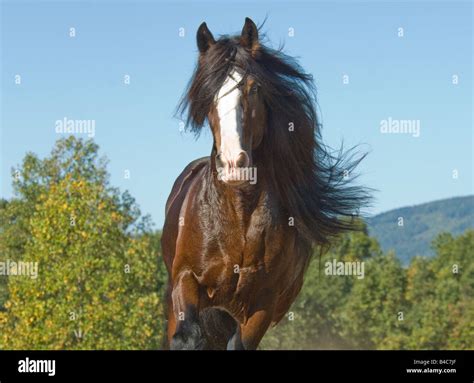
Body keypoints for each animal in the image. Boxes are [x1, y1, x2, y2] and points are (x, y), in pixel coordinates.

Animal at [161, 17, 368, 352]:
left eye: (254, 87)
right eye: (207, 93)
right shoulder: (185, 280)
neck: (238, 216)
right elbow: (187, 337)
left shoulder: (262, 305)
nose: (234, 165)